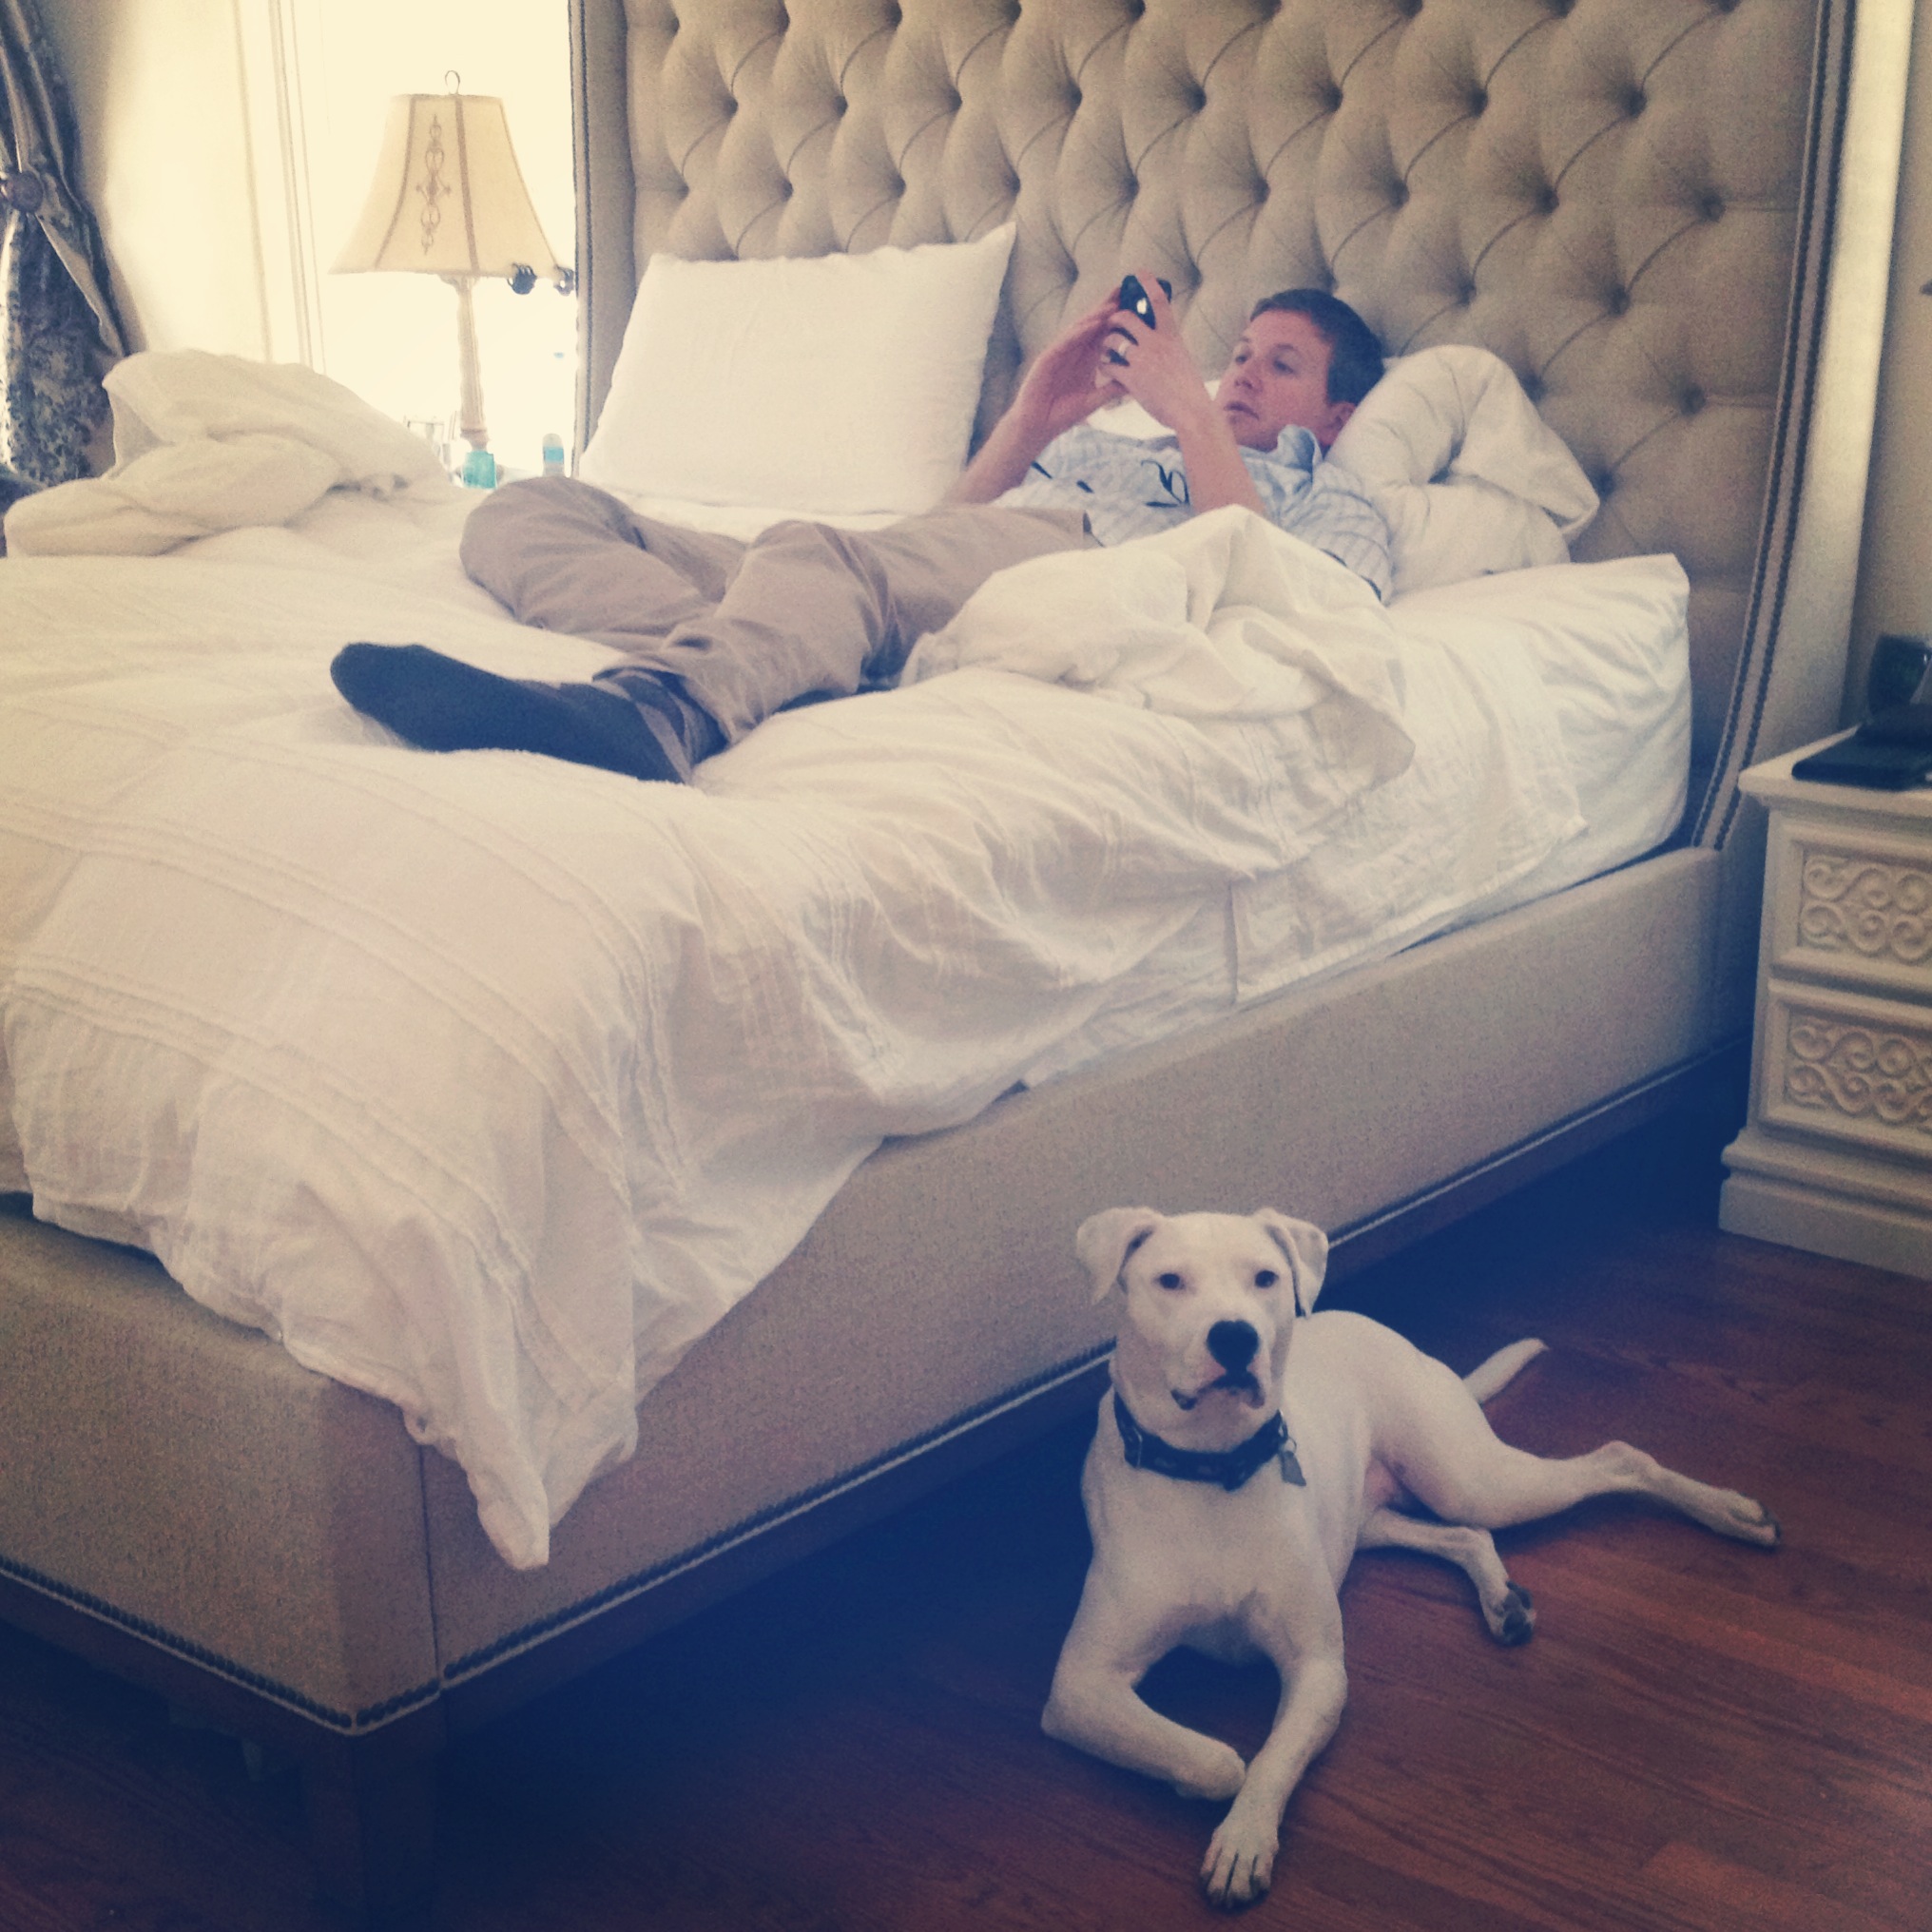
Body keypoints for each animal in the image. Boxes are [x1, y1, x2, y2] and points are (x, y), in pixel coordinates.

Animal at [1043, 1207, 1781, 1909]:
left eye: (1265, 1278)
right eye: (1169, 1281)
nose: (1236, 1337)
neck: (1211, 1468)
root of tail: (1383, 1331)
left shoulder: (1318, 1671)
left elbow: (1267, 1761)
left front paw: (1243, 1839)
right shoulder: (1080, 1687)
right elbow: (1219, 1761)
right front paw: (1207, 1795)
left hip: (1472, 1479)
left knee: (1618, 1459)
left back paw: (1732, 1513)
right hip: (1375, 1519)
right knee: (1467, 1535)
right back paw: (1503, 1602)